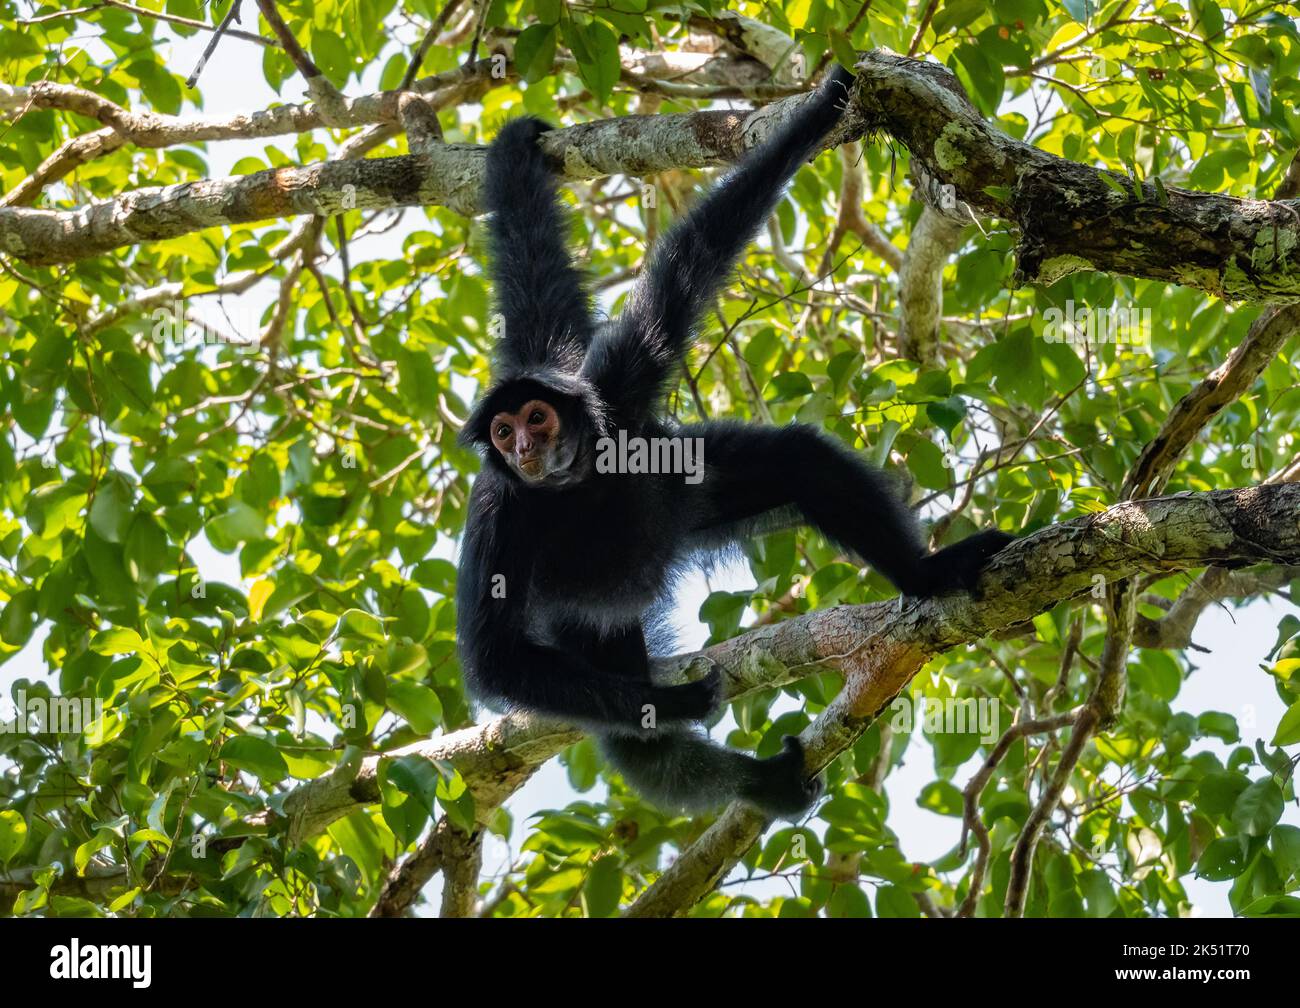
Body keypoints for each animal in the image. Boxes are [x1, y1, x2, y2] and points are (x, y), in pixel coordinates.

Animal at [457, 63, 1013, 822]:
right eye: (503, 432)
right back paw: (759, 783)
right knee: (636, 743)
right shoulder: (497, 506)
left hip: (677, 494)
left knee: (797, 460)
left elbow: (699, 256)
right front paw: (671, 703)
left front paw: (824, 108)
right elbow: (495, 661)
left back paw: (927, 577)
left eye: (535, 420)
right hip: (590, 618)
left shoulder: (619, 390)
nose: (520, 448)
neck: (576, 485)